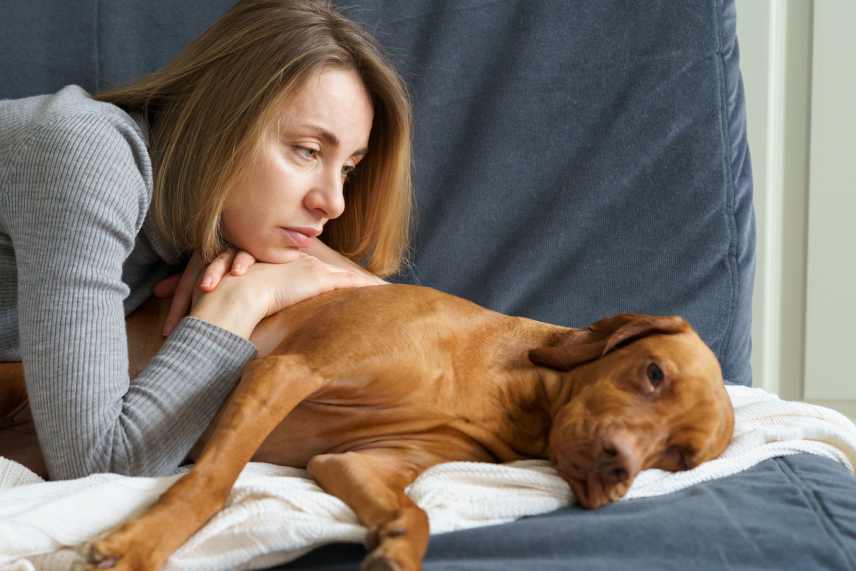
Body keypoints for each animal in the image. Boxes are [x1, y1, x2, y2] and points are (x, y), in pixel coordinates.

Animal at [1, 286, 736, 571]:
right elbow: (210, 481)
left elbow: (414, 512)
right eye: (653, 373)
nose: (617, 467)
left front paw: (396, 549)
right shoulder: (284, 372)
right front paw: (140, 544)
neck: (505, 389)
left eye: (678, 457)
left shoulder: (352, 463)